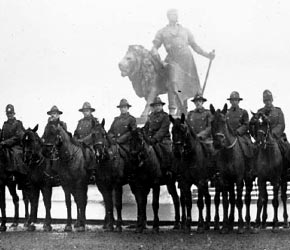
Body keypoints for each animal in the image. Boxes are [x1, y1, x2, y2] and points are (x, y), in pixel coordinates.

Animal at [210, 104, 246, 233]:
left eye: (224, 121)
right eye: (211, 122)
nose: (218, 143)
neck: (228, 153)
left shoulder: (239, 179)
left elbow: (239, 201)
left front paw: (240, 226)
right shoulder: (224, 179)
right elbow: (225, 202)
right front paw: (225, 226)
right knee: (231, 199)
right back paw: (229, 223)